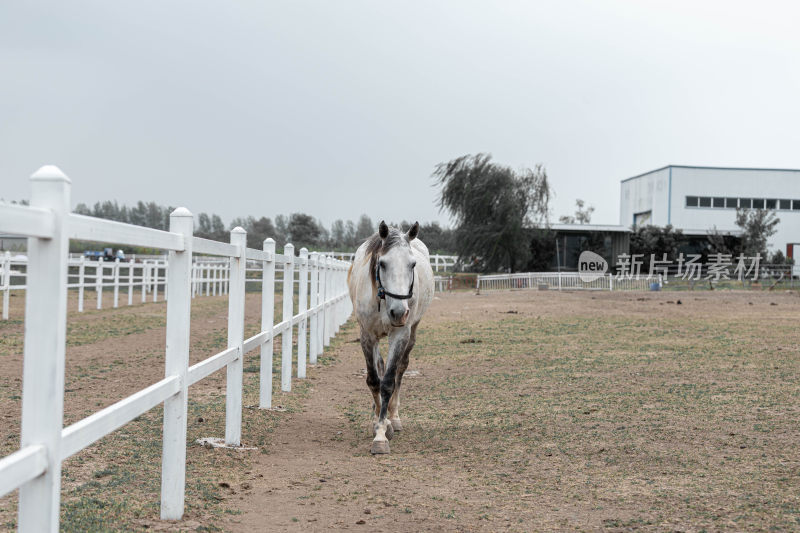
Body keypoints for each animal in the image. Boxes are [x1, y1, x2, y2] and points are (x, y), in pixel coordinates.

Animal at [346, 220, 434, 454]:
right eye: (383, 264)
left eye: (412, 264)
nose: (398, 312)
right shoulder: (367, 335)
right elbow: (373, 380)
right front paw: (377, 422)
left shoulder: (400, 334)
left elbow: (387, 383)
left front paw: (382, 434)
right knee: (380, 367)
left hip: (411, 332)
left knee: (399, 371)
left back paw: (393, 418)